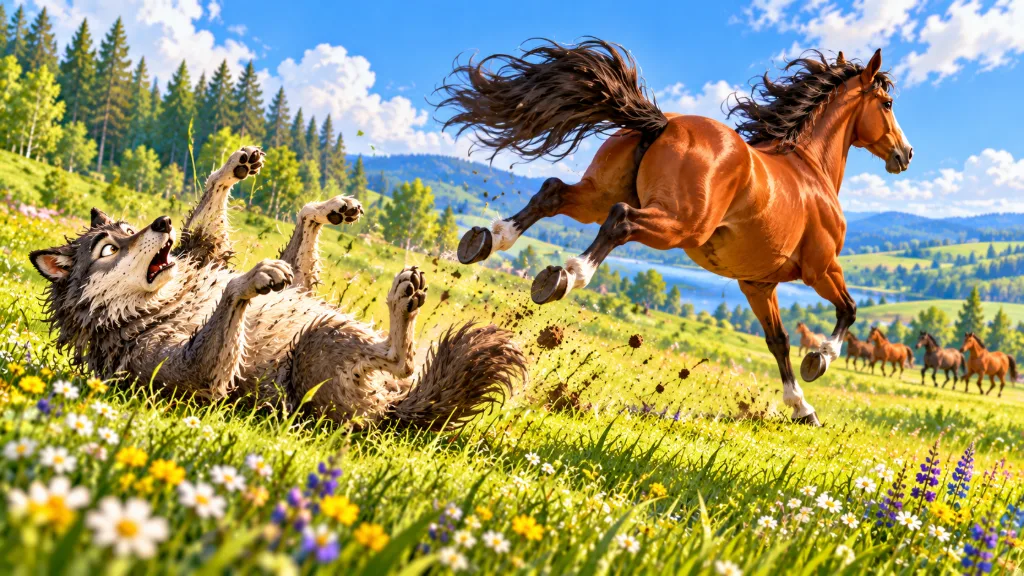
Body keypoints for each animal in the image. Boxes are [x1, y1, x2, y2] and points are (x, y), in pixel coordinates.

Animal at [29, 146, 527, 429]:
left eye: (130, 230)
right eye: (108, 249)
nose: (162, 222)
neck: (158, 300)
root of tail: (392, 412)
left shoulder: (213, 254)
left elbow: (237, 213)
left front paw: (249, 170)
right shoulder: (183, 379)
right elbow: (229, 301)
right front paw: (252, 278)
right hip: (318, 342)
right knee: (400, 359)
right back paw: (403, 303)